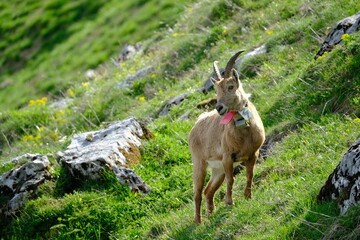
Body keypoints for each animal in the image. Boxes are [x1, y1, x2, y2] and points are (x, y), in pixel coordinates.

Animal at [188, 50, 264, 223]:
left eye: (230, 86)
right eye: (216, 91)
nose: (219, 108)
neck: (244, 133)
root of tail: (196, 125)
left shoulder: (253, 154)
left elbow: (250, 174)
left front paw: (248, 196)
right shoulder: (228, 157)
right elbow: (231, 180)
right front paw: (230, 202)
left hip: (217, 169)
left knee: (208, 190)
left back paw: (211, 214)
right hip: (199, 163)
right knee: (197, 193)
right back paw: (198, 221)